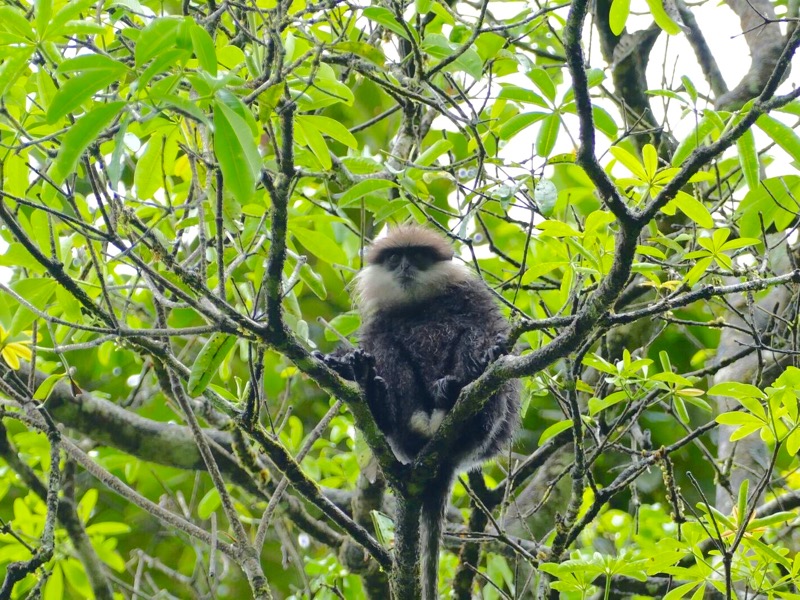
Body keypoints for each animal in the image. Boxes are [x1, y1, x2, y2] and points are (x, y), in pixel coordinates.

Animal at [316, 223, 520, 596]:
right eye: (395, 257)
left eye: (418, 256)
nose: (405, 266)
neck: (418, 305)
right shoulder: (379, 319)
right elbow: (376, 341)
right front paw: (346, 366)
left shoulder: (475, 298)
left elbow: (487, 335)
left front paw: (485, 357)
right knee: (386, 346)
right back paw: (381, 402)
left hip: (484, 430)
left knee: (472, 338)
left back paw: (457, 390)